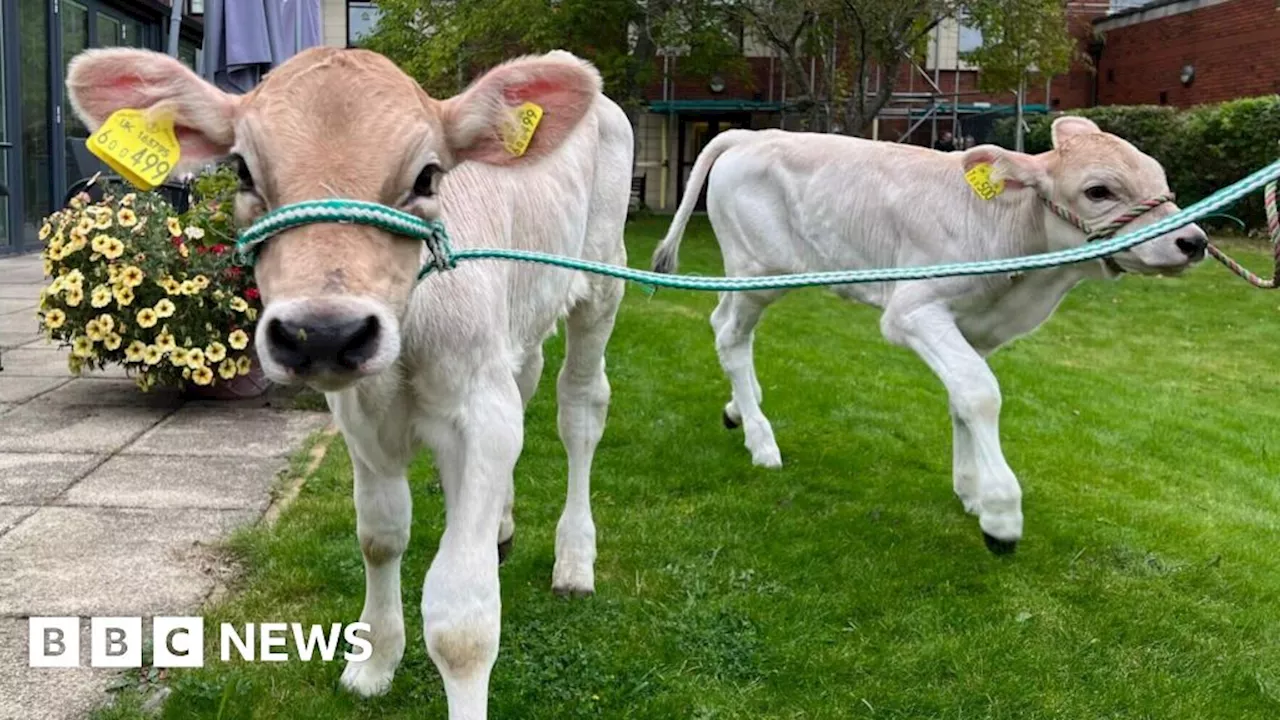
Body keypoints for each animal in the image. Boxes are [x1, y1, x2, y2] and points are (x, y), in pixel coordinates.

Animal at [67, 47, 632, 712]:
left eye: (427, 177)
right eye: (241, 170)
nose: (323, 333)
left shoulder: (480, 413)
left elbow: (462, 621)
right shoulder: (363, 416)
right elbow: (381, 536)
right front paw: (374, 663)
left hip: (602, 281)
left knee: (580, 408)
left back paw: (575, 561)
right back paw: (501, 525)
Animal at [655, 120, 1203, 550]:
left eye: (1160, 178)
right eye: (1098, 191)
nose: (1193, 241)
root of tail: (752, 133)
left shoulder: (974, 330)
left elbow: (962, 396)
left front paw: (971, 490)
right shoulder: (912, 311)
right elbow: (980, 393)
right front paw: (1001, 511)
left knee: (721, 324)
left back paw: (738, 409)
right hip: (758, 271)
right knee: (731, 335)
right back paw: (761, 439)